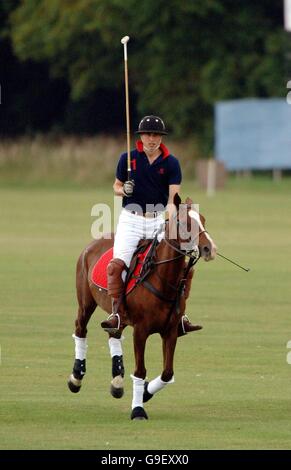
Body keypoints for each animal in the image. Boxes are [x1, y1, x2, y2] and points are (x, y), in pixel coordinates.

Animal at [68, 193, 217, 420]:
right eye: (184, 222)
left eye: (203, 219)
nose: (210, 248)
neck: (163, 280)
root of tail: (94, 242)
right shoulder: (140, 330)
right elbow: (140, 371)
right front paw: (138, 409)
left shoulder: (170, 331)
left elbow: (167, 373)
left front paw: (146, 392)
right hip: (86, 302)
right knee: (81, 328)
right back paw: (76, 378)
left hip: (118, 313)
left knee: (114, 332)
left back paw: (117, 381)